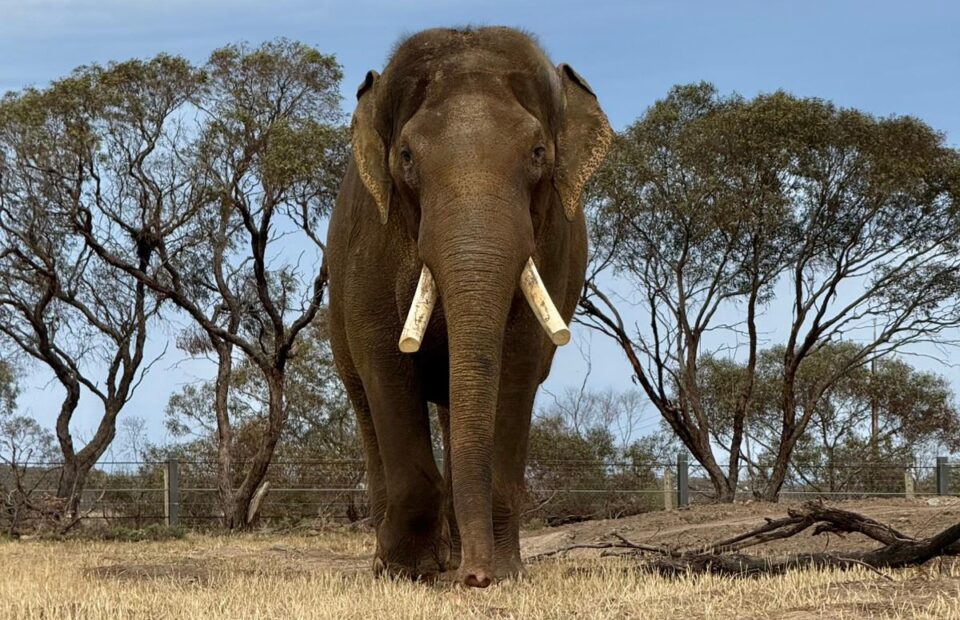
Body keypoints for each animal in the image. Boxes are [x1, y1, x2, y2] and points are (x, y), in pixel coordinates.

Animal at [326, 26, 613, 587]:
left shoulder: (552, 245)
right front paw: (407, 572)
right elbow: (385, 360)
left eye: (538, 152)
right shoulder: (370, 243)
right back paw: (396, 559)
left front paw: (502, 571)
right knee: (364, 400)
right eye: (407, 156)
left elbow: (519, 362)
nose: (474, 578)